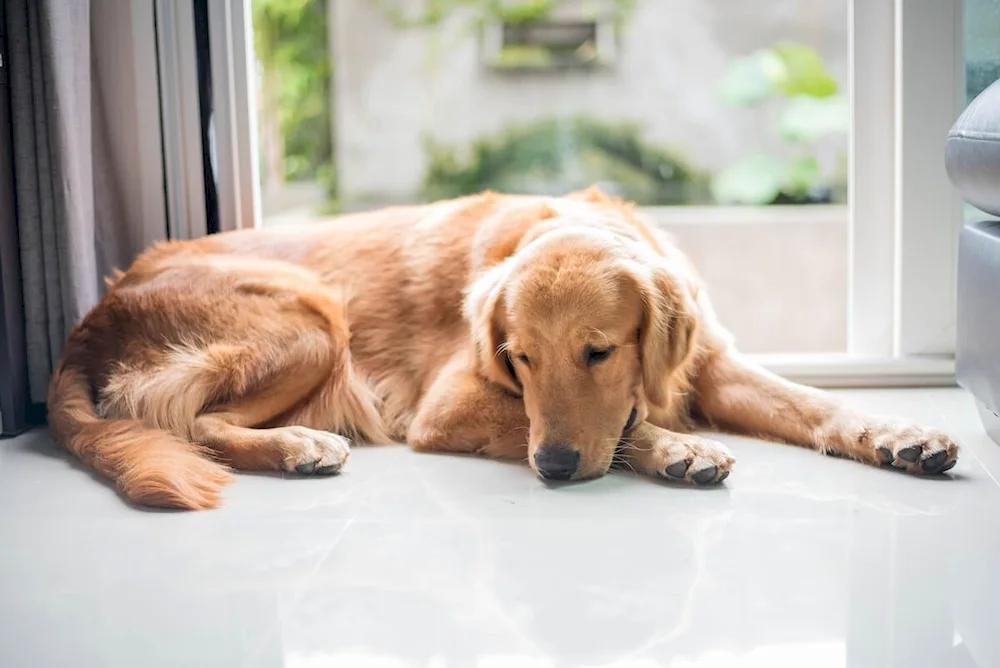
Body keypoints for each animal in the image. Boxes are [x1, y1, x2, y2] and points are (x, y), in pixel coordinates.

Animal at [47, 190, 960, 508]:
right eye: (518, 359)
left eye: (598, 352)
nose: (551, 470)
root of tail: (89, 316)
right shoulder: (448, 405)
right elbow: (616, 429)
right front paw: (675, 449)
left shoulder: (711, 362)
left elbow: (814, 403)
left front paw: (899, 433)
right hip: (311, 320)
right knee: (190, 422)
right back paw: (299, 445)